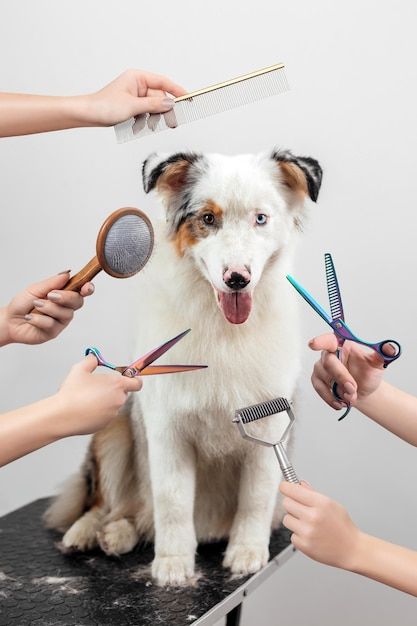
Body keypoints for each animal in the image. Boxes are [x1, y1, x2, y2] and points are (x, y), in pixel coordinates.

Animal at [45, 147, 324, 584]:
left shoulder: (269, 427)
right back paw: (91, 532)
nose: (237, 279)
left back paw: (117, 535)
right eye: (207, 218)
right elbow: (172, 499)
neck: (223, 331)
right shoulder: (167, 426)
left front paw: (246, 553)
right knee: (106, 502)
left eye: (260, 218)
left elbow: (256, 498)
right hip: (113, 428)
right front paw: (173, 565)